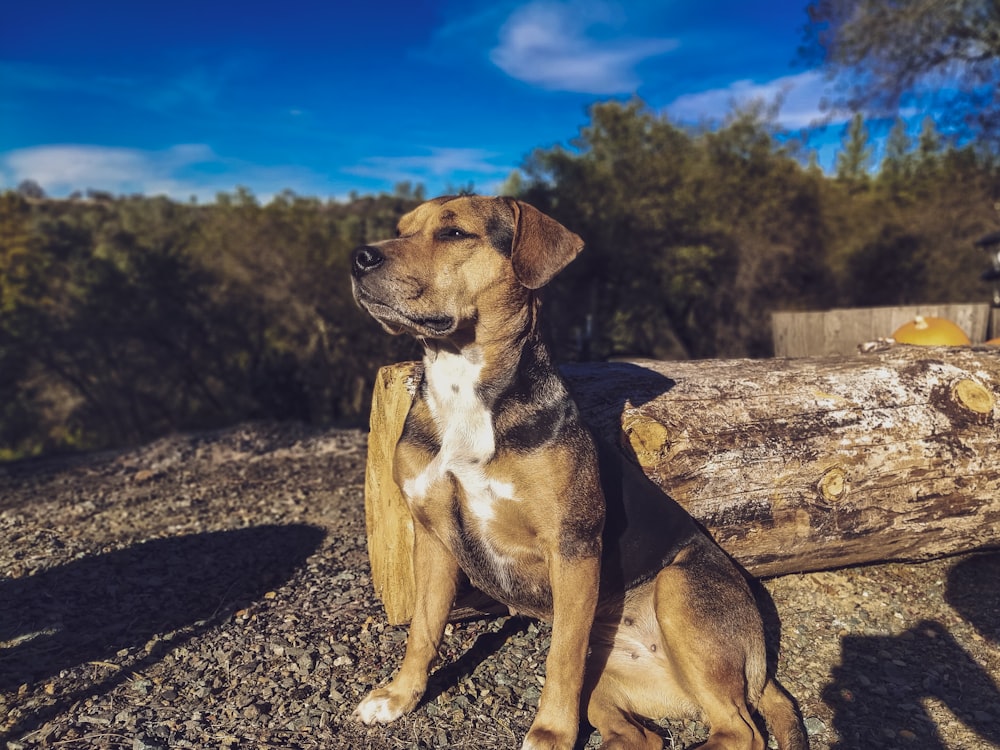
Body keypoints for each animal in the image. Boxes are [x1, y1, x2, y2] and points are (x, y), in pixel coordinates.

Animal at [350, 198, 804, 750]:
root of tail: (761, 665)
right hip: (607, 674)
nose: (360, 257)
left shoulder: (571, 548)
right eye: (400, 230)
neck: (463, 388)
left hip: (677, 589)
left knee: (740, 731)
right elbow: (423, 630)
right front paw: (398, 696)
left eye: (454, 233)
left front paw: (549, 731)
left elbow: (560, 656)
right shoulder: (434, 537)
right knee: (645, 737)